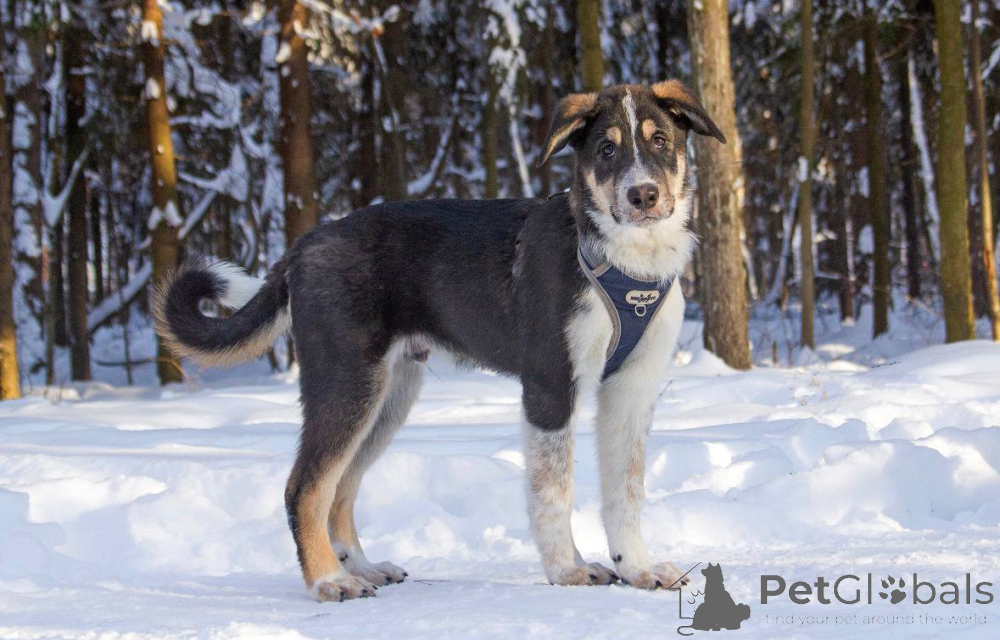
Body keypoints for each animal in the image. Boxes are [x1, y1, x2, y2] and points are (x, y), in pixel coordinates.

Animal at [155, 80, 726, 602]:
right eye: (606, 149)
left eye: (660, 140)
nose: (643, 195)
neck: (625, 257)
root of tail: (304, 245)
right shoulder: (549, 385)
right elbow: (554, 491)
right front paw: (568, 570)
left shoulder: (631, 389)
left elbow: (626, 490)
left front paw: (638, 568)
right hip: (345, 384)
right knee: (307, 488)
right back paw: (329, 581)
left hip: (388, 396)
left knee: (341, 487)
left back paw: (362, 567)